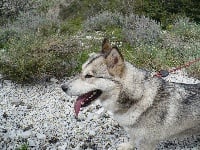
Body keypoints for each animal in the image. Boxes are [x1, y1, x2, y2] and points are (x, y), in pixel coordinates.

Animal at [61, 38, 200, 149]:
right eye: (81, 71)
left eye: (89, 76)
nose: (63, 87)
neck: (139, 96)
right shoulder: (134, 133)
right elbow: (132, 138)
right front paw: (128, 146)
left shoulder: (147, 143)